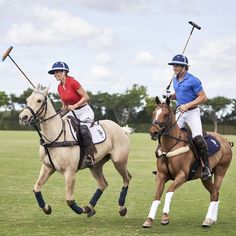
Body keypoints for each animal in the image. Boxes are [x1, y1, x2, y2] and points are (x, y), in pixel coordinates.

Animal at [18, 85, 133, 218]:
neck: (54, 137)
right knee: (103, 183)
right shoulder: (47, 167)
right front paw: (47, 208)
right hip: (96, 165)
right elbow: (36, 187)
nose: (23, 117)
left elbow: (69, 199)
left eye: (39, 100)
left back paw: (121, 208)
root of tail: (121, 129)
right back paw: (89, 207)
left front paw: (80, 209)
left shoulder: (70, 172)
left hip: (119, 161)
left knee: (127, 178)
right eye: (27, 99)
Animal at [142, 96, 232, 229]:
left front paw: (165, 217)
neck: (170, 147)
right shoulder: (161, 175)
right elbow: (157, 196)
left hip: (221, 171)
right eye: (154, 113)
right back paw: (212, 219)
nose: (153, 132)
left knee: (215, 193)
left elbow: (169, 191)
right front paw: (149, 220)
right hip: (205, 178)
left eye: (166, 115)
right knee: (215, 194)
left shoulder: (182, 175)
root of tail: (226, 141)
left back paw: (207, 221)